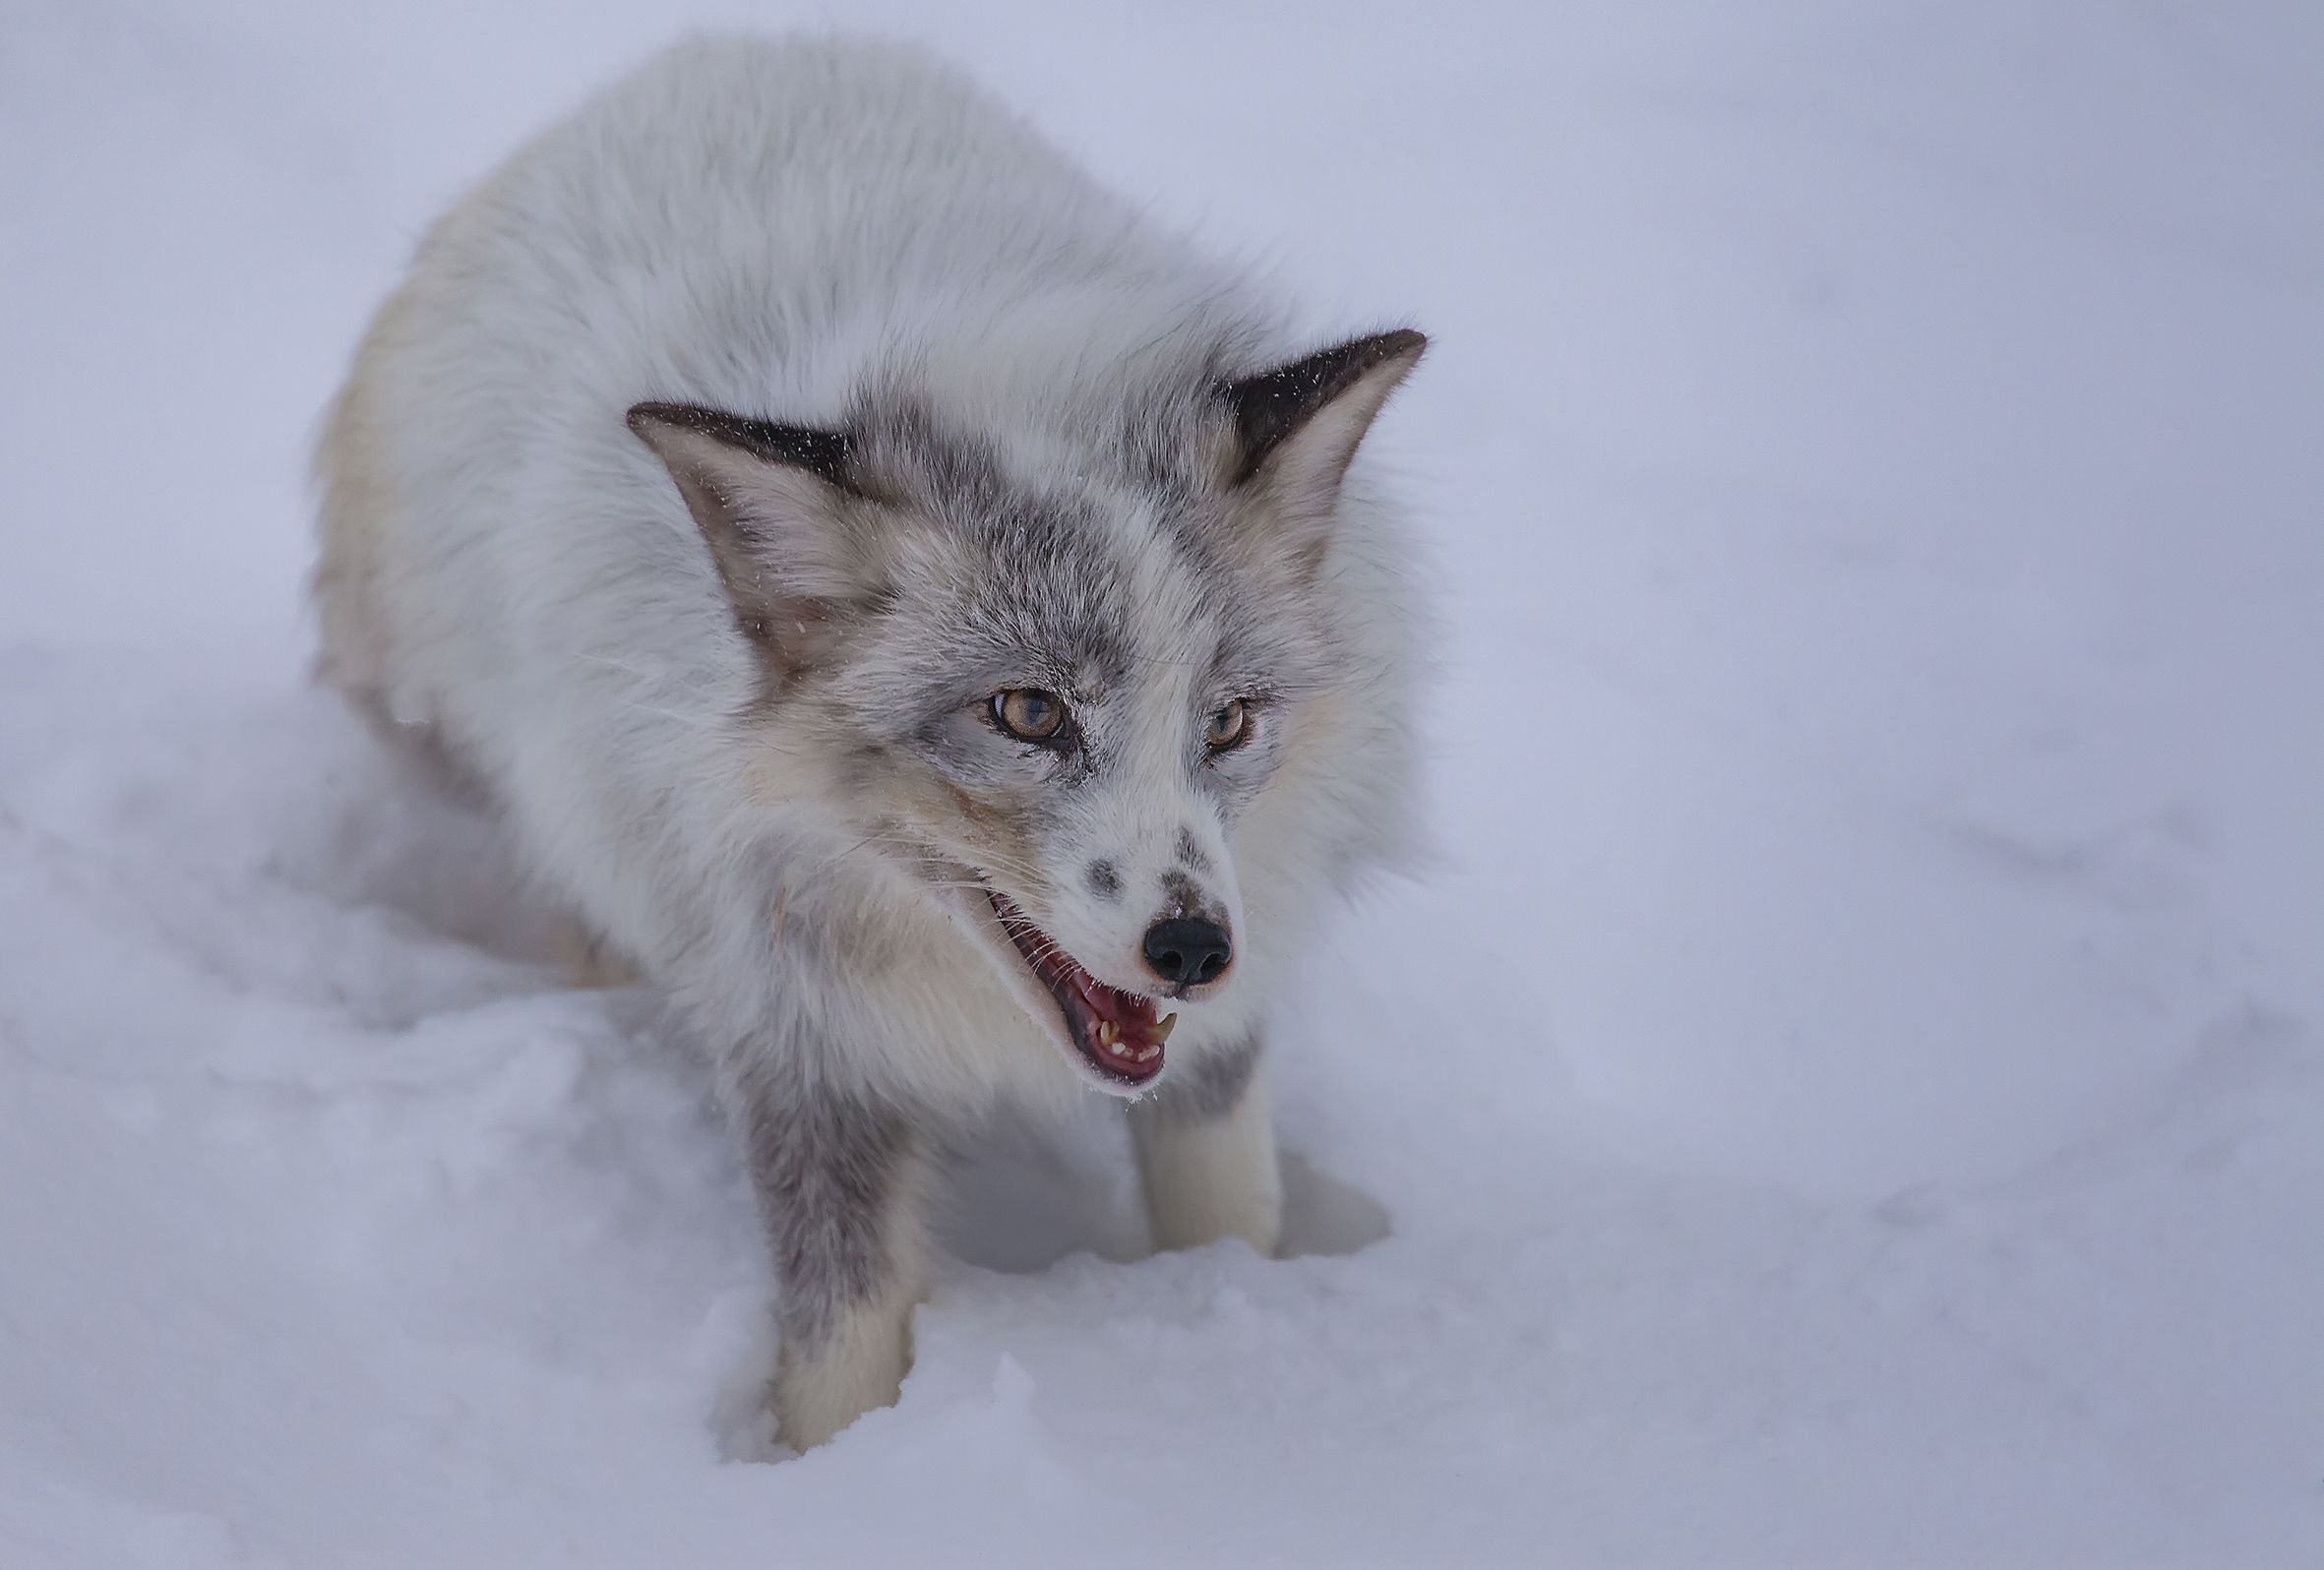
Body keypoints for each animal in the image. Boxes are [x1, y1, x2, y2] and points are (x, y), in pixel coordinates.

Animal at [316, 33, 1422, 1449]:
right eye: (1027, 714)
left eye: (1226, 721)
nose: (1192, 950)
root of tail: (712, 52)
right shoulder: (801, 1043)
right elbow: (839, 1354)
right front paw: (835, 1474)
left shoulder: (1219, 1029)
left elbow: (1229, 1211)